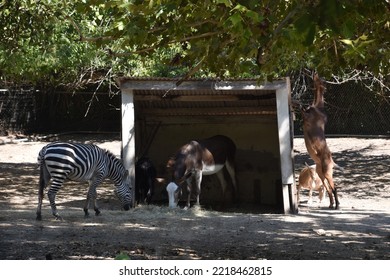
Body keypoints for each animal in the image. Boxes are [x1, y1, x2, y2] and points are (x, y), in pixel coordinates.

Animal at [300, 75, 340, 210]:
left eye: (320, 80)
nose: (315, 74)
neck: (318, 108)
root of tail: (332, 161)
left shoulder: (306, 117)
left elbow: (300, 108)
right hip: (320, 173)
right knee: (328, 188)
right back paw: (331, 204)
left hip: (327, 172)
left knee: (334, 187)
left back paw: (337, 205)